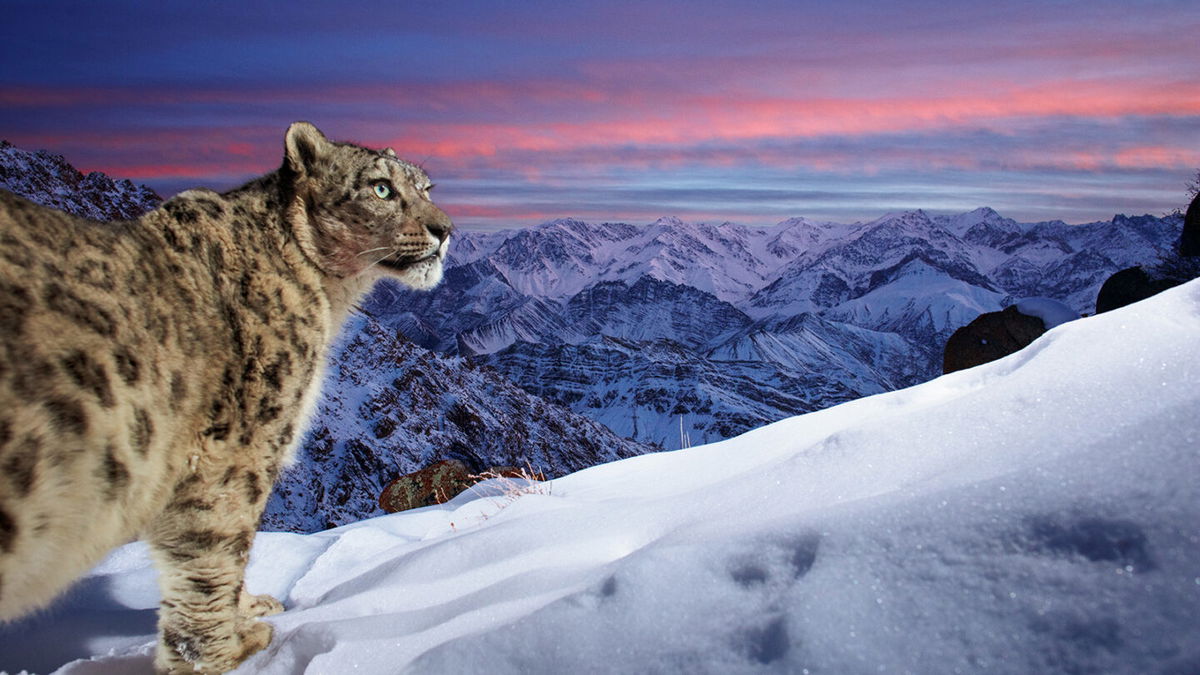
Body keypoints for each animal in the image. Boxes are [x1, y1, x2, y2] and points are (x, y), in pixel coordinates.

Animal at [0, 119, 451, 667]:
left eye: (426, 188)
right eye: (381, 188)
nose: (445, 229)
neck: (330, 297)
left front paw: (250, 609)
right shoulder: (238, 449)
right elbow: (216, 553)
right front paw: (226, 651)